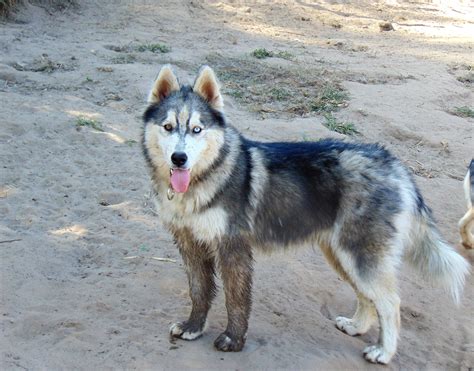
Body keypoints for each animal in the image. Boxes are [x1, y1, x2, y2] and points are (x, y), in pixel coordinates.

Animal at [142, 65, 470, 364]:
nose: (179, 158)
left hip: (360, 257)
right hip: (342, 256)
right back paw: (356, 326)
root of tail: (394, 164)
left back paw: (384, 352)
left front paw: (233, 340)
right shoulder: (190, 245)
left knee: (390, 303)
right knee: (368, 297)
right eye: (168, 127)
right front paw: (193, 327)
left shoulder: (232, 249)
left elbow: (235, 300)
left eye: (197, 129)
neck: (203, 180)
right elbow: (199, 291)